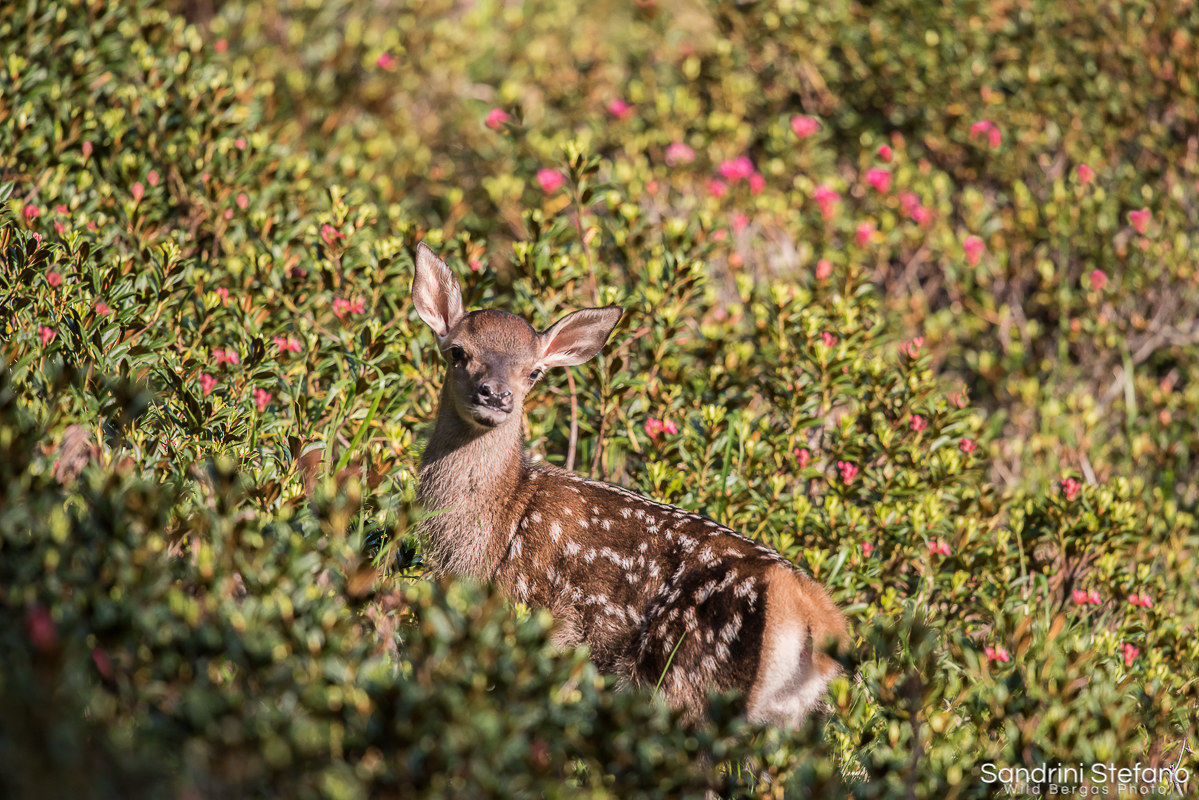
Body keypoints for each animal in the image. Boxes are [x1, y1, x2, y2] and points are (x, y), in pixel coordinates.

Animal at [411, 242, 847, 728]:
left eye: (534, 372)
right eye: (457, 352)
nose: (495, 395)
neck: (496, 523)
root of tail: (815, 617)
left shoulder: (531, 610)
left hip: (691, 674)